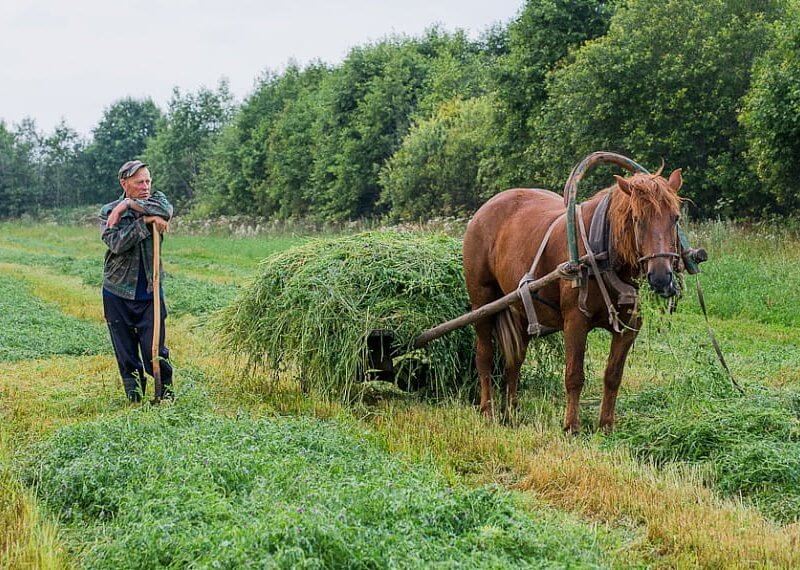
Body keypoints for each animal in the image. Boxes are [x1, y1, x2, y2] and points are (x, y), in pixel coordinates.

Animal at [462, 168, 680, 430]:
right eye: (637, 219)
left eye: (675, 218)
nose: (661, 277)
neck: (602, 251)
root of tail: (483, 211)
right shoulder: (575, 321)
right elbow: (574, 375)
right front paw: (571, 425)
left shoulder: (629, 326)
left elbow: (613, 375)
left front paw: (606, 425)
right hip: (482, 303)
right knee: (484, 356)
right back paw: (488, 410)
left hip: (520, 308)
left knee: (514, 362)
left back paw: (511, 413)